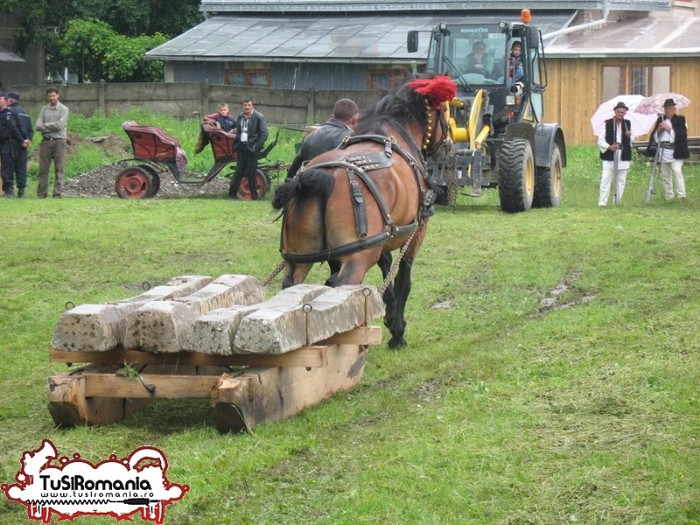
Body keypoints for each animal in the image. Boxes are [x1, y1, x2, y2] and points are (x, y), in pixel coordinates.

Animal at [270, 74, 456, 348]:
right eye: (443, 111)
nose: (448, 145)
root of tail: (319, 177)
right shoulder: (416, 231)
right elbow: (403, 280)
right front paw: (398, 332)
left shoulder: (380, 237)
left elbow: (386, 270)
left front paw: (390, 316)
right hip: (358, 258)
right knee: (342, 286)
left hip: (299, 259)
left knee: (294, 286)